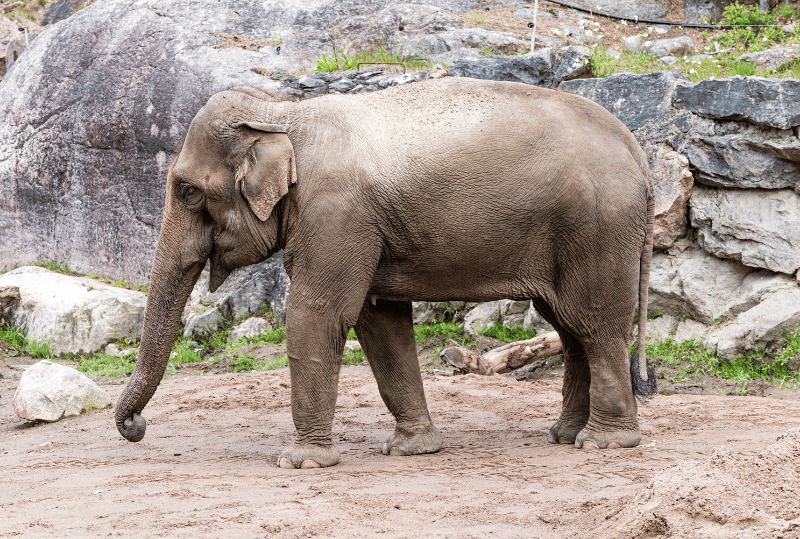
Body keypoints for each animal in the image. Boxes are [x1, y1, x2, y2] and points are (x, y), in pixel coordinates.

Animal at [117, 76, 656, 468]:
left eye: (187, 191)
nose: (135, 427)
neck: (283, 113)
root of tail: (638, 150)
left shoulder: (336, 213)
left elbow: (317, 313)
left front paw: (301, 462)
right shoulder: (359, 227)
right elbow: (379, 322)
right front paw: (412, 450)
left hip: (598, 227)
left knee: (594, 323)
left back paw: (604, 443)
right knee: (569, 327)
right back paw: (564, 435)